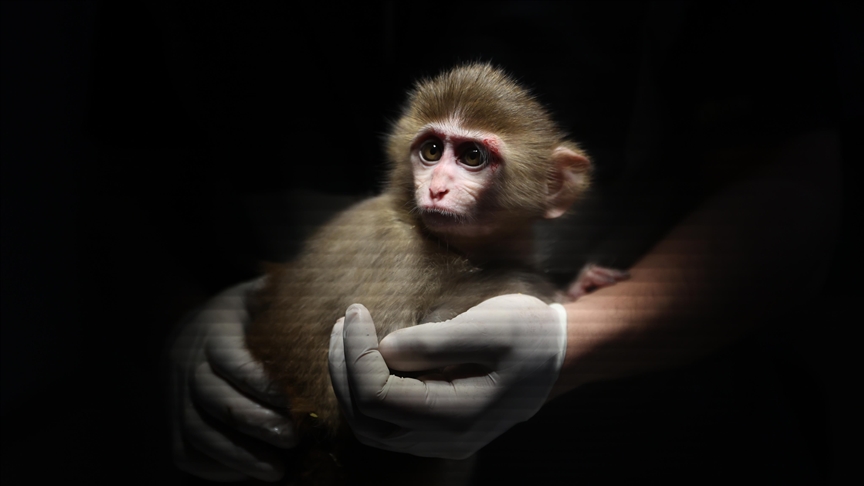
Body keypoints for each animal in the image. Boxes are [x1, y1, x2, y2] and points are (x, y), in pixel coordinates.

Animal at [245, 63, 625, 484]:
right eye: (431, 151)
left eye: (472, 155)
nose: (437, 189)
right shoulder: (401, 257)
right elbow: (385, 363)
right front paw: (551, 293)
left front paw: (577, 288)